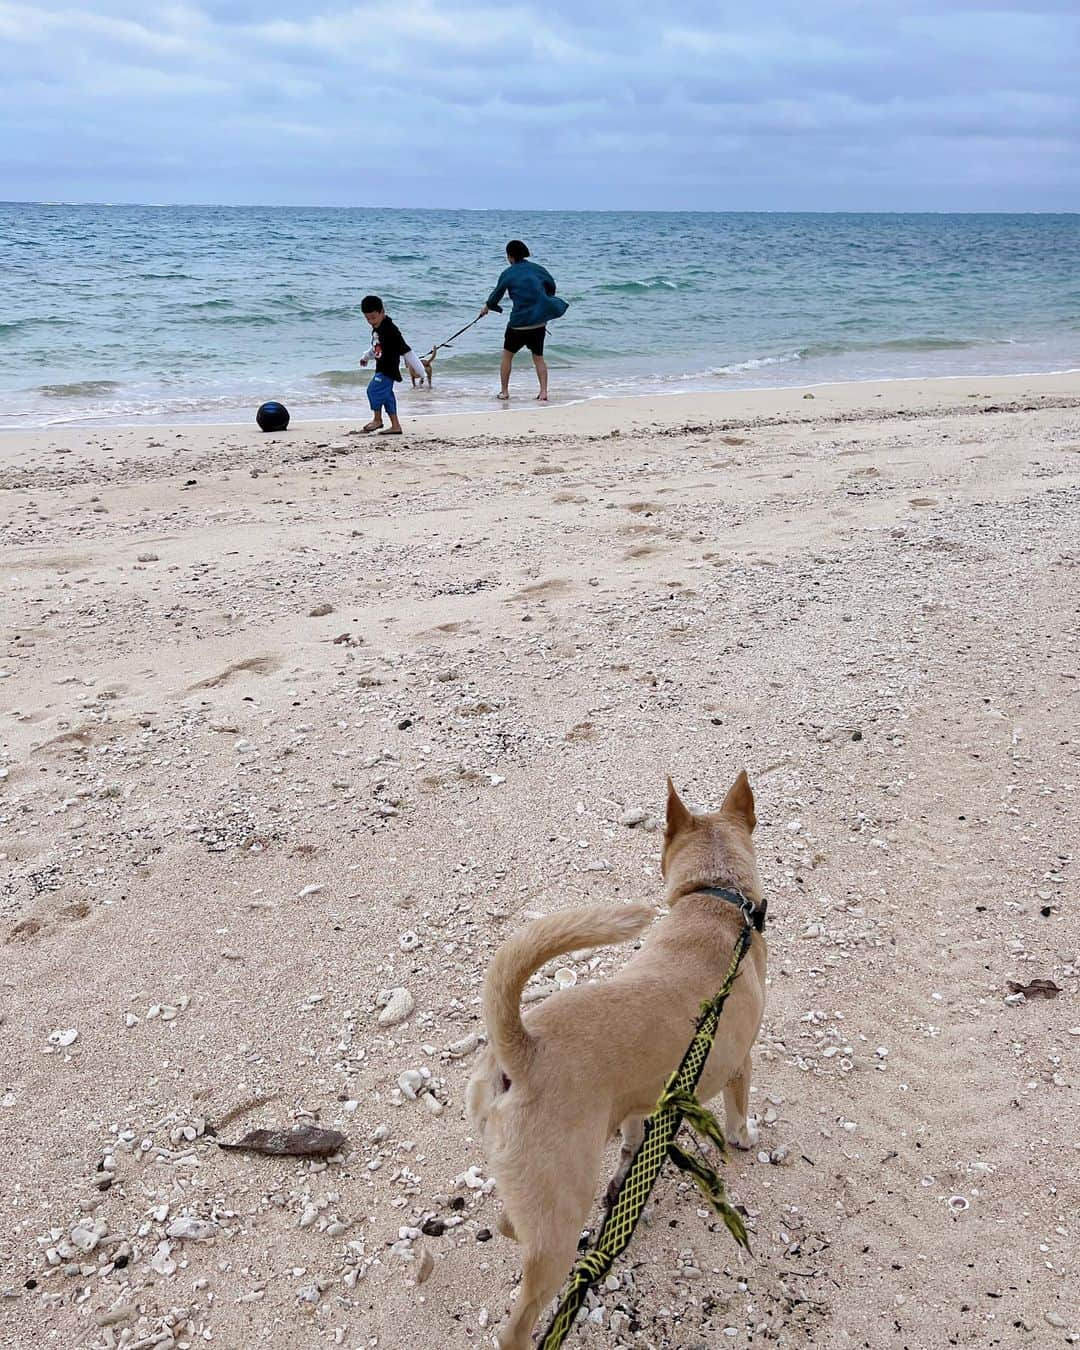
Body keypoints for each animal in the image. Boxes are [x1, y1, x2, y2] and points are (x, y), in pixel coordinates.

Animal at [467, 772, 766, 1350]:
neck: (715, 900)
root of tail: (524, 1047)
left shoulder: (642, 1100)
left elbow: (633, 1141)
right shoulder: (740, 1062)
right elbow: (739, 1110)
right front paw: (743, 1137)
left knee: (514, 1223)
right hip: (561, 1220)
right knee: (519, 1322)